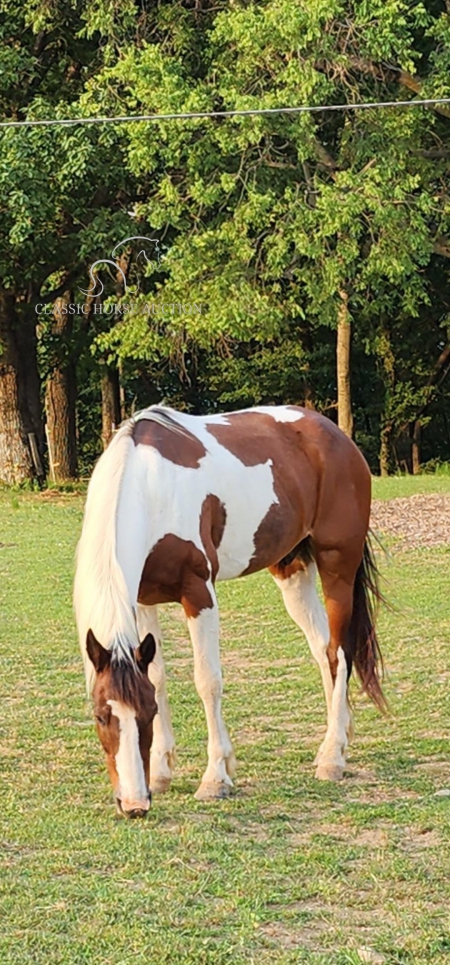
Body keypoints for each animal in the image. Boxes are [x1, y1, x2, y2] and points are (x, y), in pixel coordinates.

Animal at [74, 402, 384, 816]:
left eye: (146, 715)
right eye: (100, 715)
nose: (135, 803)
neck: (151, 487)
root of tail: (334, 434)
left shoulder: (199, 594)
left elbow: (208, 681)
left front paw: (215, 778)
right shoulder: (143, 600)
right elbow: (157, 678)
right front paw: (161, 772)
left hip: (338, 563)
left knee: (340, 650)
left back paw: (333, 757)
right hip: (292, 567)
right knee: (323, 651)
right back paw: (337, 740)